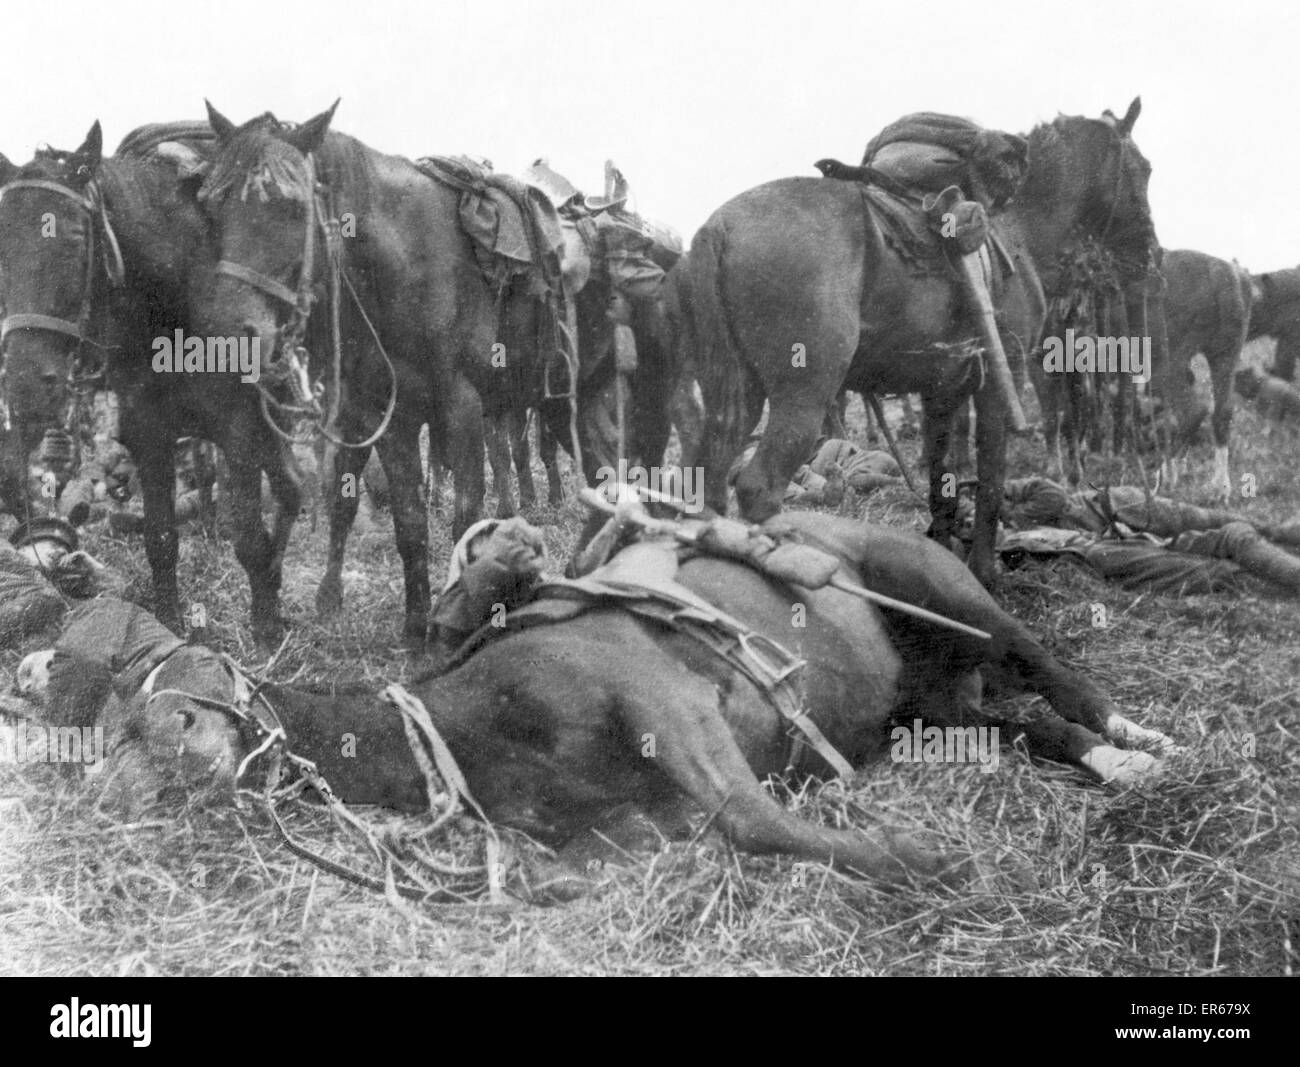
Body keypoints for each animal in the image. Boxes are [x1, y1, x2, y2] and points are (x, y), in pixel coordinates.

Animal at [0, 124, 306, 642]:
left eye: (74, 240)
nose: (24, 385)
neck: (178, 304)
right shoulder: (150, 434)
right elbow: (160, 536)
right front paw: (168, 622)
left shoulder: (240, 431)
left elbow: (248, 535)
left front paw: (265, 629)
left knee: (289, 490)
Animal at [38, 512, 1180, 888]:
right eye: (111, 726)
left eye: (169, 714)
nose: (103, 802)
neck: (469, 723)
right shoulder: (625, 826)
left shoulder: (674, 707)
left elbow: (756, 820)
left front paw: (928, 859)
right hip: (931, 697)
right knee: (1023, 717)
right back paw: (1117, 761)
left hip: (942, 589)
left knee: (1045, 660)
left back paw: (1136, 734)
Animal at [195, 105, 504, 642]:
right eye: (211, 207)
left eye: (293, 208)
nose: (228, 337)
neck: (413, 261)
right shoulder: (390, 416)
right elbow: (409, 525)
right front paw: (416, 630)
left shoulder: (462, 408)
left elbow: (464, 523)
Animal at [681, 98, 1159, 582]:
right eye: (1143, 169)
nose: (1151, 255)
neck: (1016, 226)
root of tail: (720, 226)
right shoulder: (995, 387)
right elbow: (990, 480)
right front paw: (984, 573)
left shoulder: (941, 393)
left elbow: (941, 484)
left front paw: (944, 556)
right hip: (804, 398)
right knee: (758, 487)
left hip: (738, 397)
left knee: (707, 478)